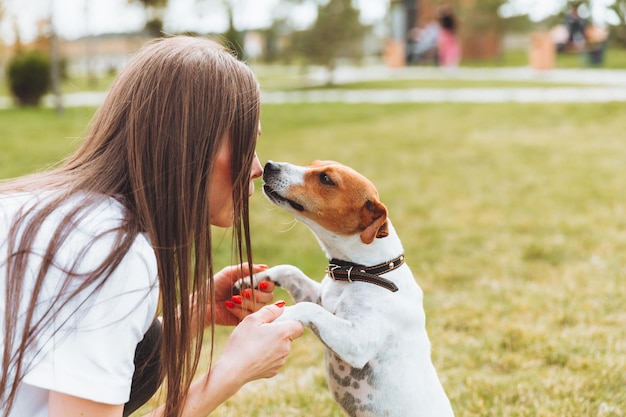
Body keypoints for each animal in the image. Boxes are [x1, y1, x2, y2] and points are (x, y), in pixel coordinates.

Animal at [250, 160, 454, 416]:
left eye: (326, 179)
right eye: (313, 164)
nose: (269, 165)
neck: (364, 271)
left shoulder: (358, 341)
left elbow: (308, 309)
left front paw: (283, 313)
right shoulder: (319, 297)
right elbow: (290, 271)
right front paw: (254, 277)